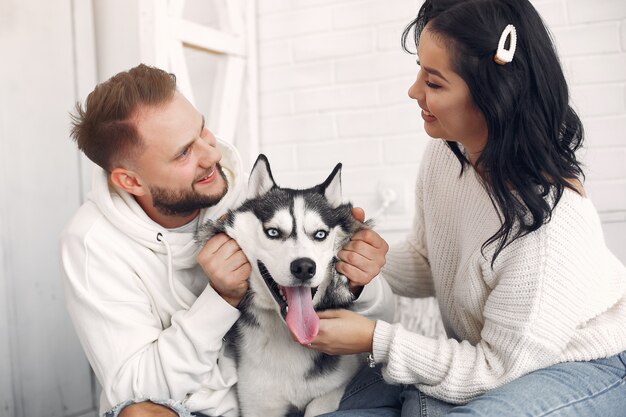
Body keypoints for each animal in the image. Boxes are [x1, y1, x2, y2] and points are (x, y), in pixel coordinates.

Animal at [197, 154, 368, 416]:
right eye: (273, 232)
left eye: (320, 234)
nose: (304, 267)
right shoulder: (258, 404)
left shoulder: (334, 387)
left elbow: (319, 404)